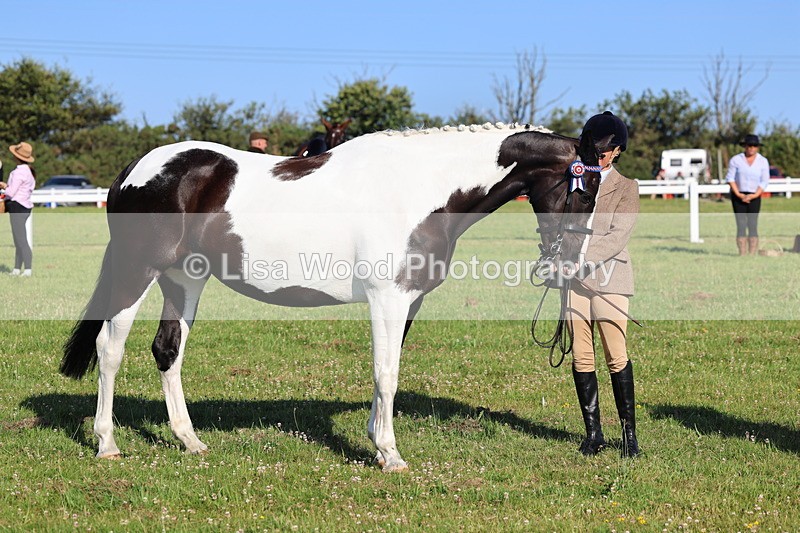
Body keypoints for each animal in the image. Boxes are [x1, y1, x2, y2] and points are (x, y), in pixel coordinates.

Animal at [60, 122, 602, 472]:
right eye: (585, 188)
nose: (572, 265)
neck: (418, 188)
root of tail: (135, 170)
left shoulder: (408, 302)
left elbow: (389, 370)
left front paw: (376, 443)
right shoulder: (388, 298)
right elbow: (386, 373)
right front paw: (390, 454)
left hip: (184, 279)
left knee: (168, 350)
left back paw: (190, 441)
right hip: (138, 272)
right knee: (110, 349)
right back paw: (107, 443)